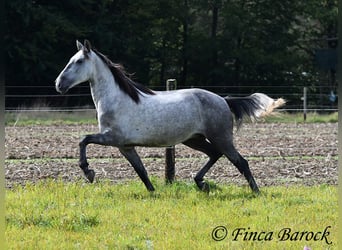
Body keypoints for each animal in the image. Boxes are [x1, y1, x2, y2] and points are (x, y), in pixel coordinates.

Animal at [55, 40, 286, 193]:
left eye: (78, 62)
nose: (59, 84)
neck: (116, 99)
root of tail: (223, 100)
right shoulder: (125, 146)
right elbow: (141, 170)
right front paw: (153, 193)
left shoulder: (112, 138)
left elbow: (83, 140)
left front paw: (88, 172)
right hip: (194, 139)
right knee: (214, 154)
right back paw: (200, 183)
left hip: (221, 137)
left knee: (240, 161)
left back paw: (256, 192)